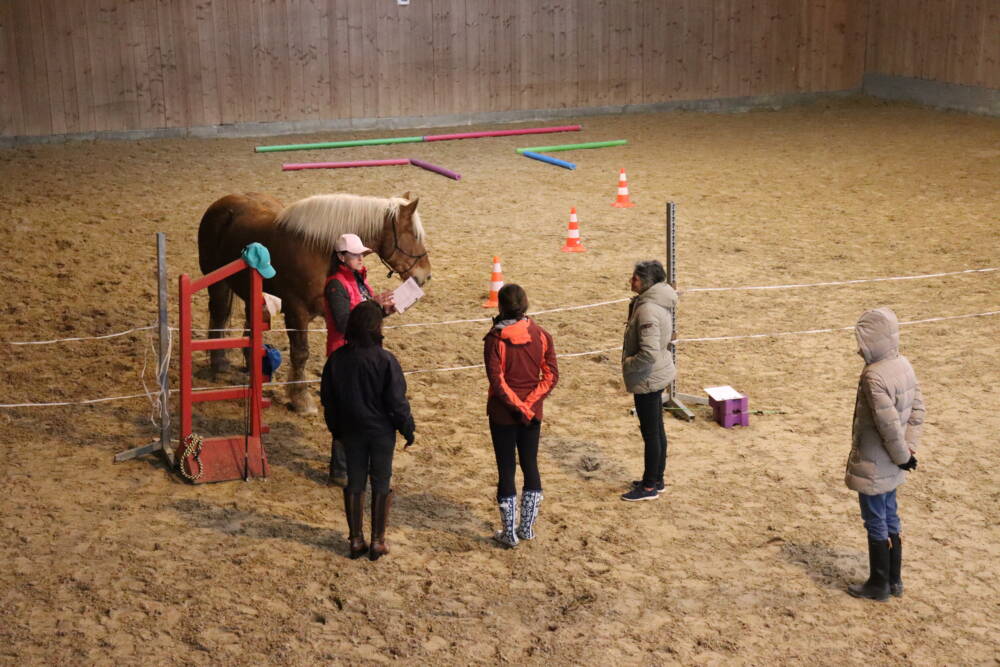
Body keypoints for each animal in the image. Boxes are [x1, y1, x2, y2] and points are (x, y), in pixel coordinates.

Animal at [197, 190, 432, 414]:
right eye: (413, 235)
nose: (425, 275)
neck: (320, 251)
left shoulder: (332, 312)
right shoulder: (297, 313)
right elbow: (301, 354)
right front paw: (301, 399)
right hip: (218, 284)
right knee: (219, 315)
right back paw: (219, 363)